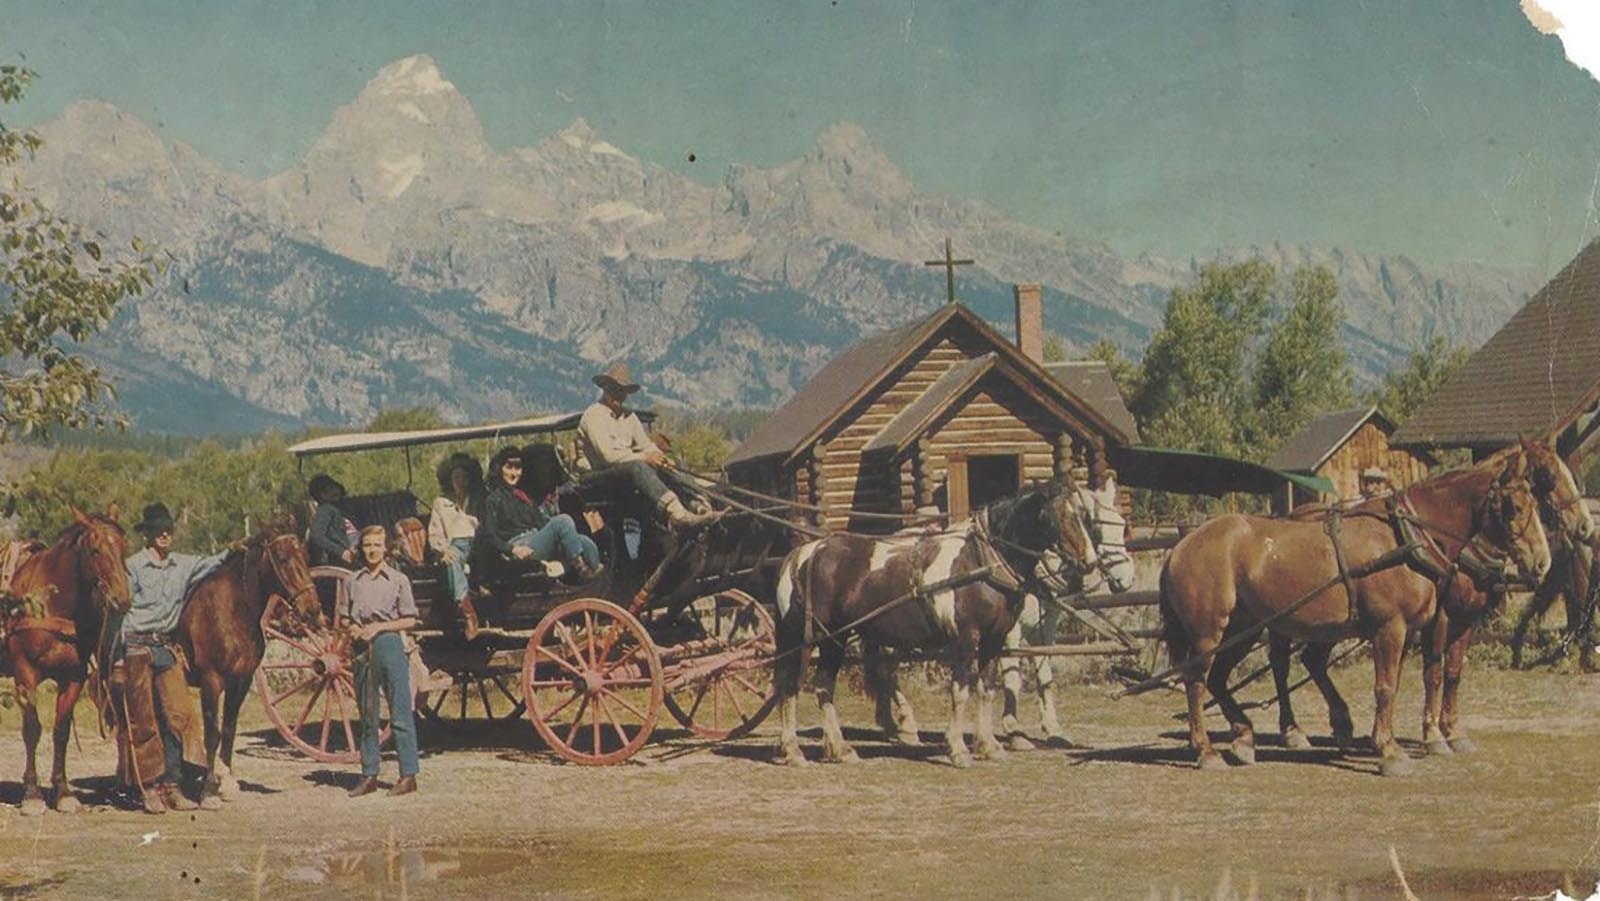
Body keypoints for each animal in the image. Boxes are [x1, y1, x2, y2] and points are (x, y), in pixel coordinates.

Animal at [5, 508, 131, 819]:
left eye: (123, 547)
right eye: (95, 550)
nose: (122, 599)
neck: (48, 604)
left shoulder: (73, 677)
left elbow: (60, 732)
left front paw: (63, 793)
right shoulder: (25, 674)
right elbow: (32, 730)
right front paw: (32, 795)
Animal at [176, 524, 318, 806]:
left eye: (306, 557)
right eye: (282, 559)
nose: (312, 609)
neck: (229, 612)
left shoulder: (240, 681)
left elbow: (229, 730)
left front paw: (228, 784)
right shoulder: (211, 681)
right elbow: (212, 735)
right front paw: (209, 791)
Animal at [774, 483, 1100, 771]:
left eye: (1084, 515)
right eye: (1061, 516)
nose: (1090, 562)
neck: (980, 562)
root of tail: (805, 554)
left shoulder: (993, 640)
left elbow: (986, 690)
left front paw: (988, 746)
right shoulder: (966, 639)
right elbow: (961, 690)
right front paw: (958, 750)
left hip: (826, 639)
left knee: (814, 687)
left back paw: (832, 750)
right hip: (819, 639)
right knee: (799, 686)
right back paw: (801, 751)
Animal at [1164, 454, 1548, 777]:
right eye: (1515, 507)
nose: (1542, 562)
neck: (1405, 538)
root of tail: (1182, 545)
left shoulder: (1411, 629)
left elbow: (1411, 681)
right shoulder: (1391, 628)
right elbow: (1388, 687)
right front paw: (1392, 751)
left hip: (1243, 629)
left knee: (1220, 679)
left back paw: (1245, 738)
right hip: (1209, 634)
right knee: (1197, 683)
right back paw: (1207, 751)